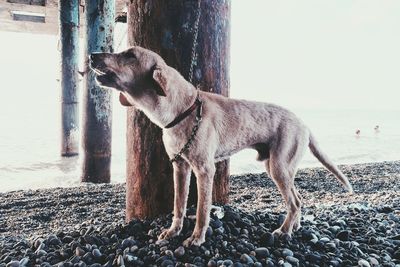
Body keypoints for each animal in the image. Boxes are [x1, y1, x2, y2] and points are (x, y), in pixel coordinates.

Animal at [89, 45, 352, 247]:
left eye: (130, 55)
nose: (92, 55)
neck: (182, 111)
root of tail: (304, 124)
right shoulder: (180, 168)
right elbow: (179, 205)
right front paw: (173, 231)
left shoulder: (205, 170)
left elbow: (202, 210)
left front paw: (196, 238)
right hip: (277, 167)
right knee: (297, 199)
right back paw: (294, 226)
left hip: (279, 167)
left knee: (295, 202)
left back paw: (284, 231)